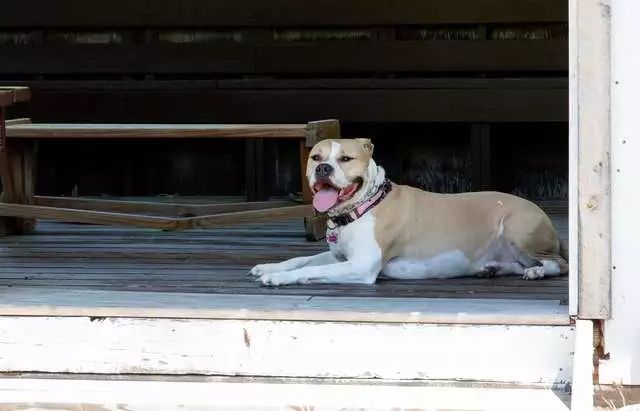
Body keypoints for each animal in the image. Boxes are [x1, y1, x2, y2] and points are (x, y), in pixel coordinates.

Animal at [248, 138, 568, 286]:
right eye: (316, 157)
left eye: (346, 159)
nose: (323, 168)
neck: (363, 206)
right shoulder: (340, 256)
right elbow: (302, 260)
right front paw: (270, 268)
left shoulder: (360, 265)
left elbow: (313, 269)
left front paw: (279, 279)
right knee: (518, 263)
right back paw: (493, 268)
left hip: (517, 227)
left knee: (557, 264)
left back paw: (538, 272)